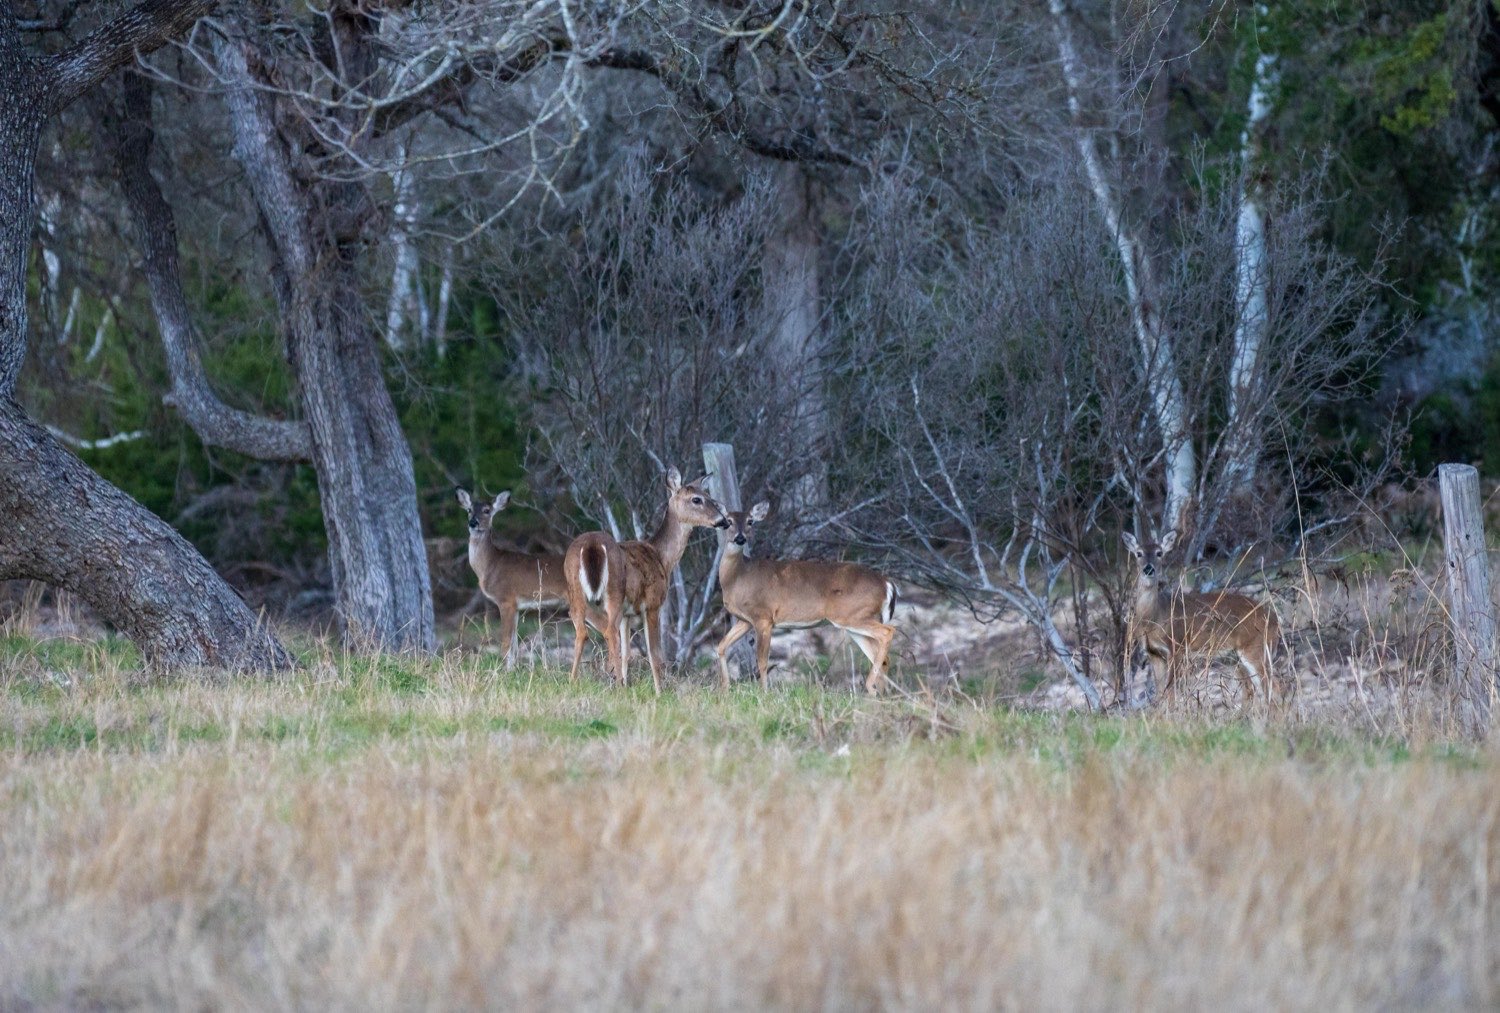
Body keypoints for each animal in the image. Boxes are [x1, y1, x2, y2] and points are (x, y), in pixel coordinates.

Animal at [455, 488, 582, 666]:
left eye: (487, 510)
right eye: (469, 510)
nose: (473, 523)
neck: (491, 565)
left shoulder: (506, 599)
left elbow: (506, 644)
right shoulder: (516, 606)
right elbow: (514, 646)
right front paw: (512, 669)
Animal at [564, 468, 730, 694]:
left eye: (709, 496)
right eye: (697, 499)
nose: (724, 521)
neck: (661, 557)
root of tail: (592, 546)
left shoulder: (627, 614)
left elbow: (627, 652)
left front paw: (627, 682)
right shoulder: (652, 604)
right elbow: (653, 652)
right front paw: (659, 691)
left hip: (575, 589)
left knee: (582, 632)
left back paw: (573, 681)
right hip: (614, 591)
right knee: (609, 632)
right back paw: (615, 686)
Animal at [715, 501, 899, 695]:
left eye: (750, 521)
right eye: (728, 521)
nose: (740, 538)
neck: (738, 578)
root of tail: (887, 583)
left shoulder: (763, 616)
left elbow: (762, 661)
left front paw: (763, 692)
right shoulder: (745, 620)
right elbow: (721, 646)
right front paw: (725, 688)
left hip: (851, 615)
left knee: (887, 633)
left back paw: (871, 687)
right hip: (856, 620)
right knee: (883, 657)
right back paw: (878, 693)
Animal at [1121, 530, 1283, 706]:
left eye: (1159, 553)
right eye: (1139, 553)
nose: (1148, 569)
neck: (1153, 619)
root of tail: (1275, 620)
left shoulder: (1178, 647)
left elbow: (1171, 691)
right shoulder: (1153, 653)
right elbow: (1160, 692)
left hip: (1257, 647)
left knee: (1275, 687)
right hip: (1234, 657)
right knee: (1251, 690)